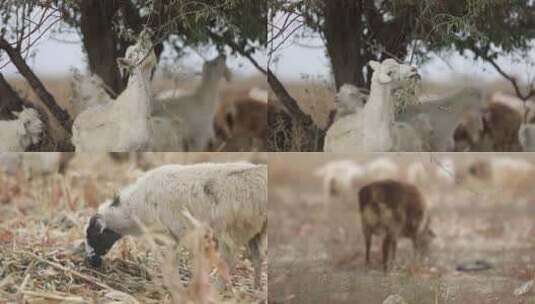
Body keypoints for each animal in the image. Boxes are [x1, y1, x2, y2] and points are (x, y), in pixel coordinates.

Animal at [85, 162, 266, 288]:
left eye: (93, 235)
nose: (91, 261)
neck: (130, 210)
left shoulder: (171, 235)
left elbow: (171, 263)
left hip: (233, 230)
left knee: (229, 260)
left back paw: (218, 288)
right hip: (256, 230)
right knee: (257, 258)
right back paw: (256, 288)